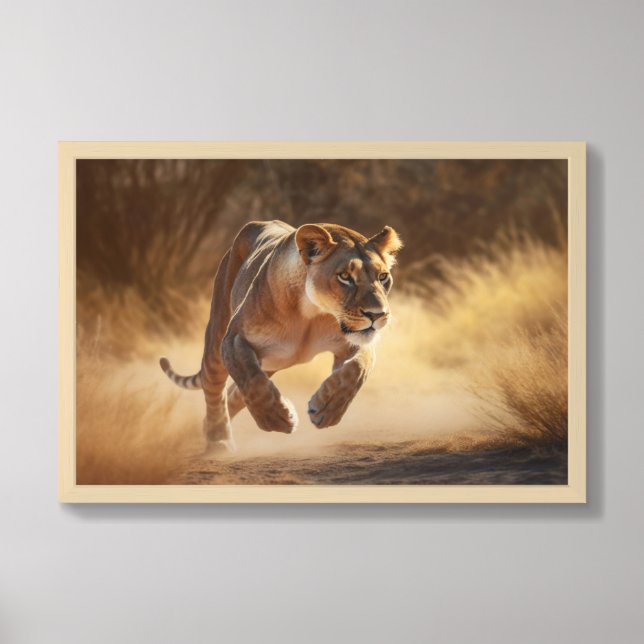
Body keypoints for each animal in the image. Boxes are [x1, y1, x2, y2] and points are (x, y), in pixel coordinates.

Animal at [160, 220, 403, 452]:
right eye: (345, 277)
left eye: (383, 277)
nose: (377, 314)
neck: (310, 314)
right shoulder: (234, 339)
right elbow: (253, 383)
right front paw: (278, 419)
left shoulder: (353, 344)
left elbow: (356, 371)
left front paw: (326, 409)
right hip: (218, 338)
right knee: (215, 388)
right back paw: (218, 440)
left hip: (272, 362)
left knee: (235, 393)